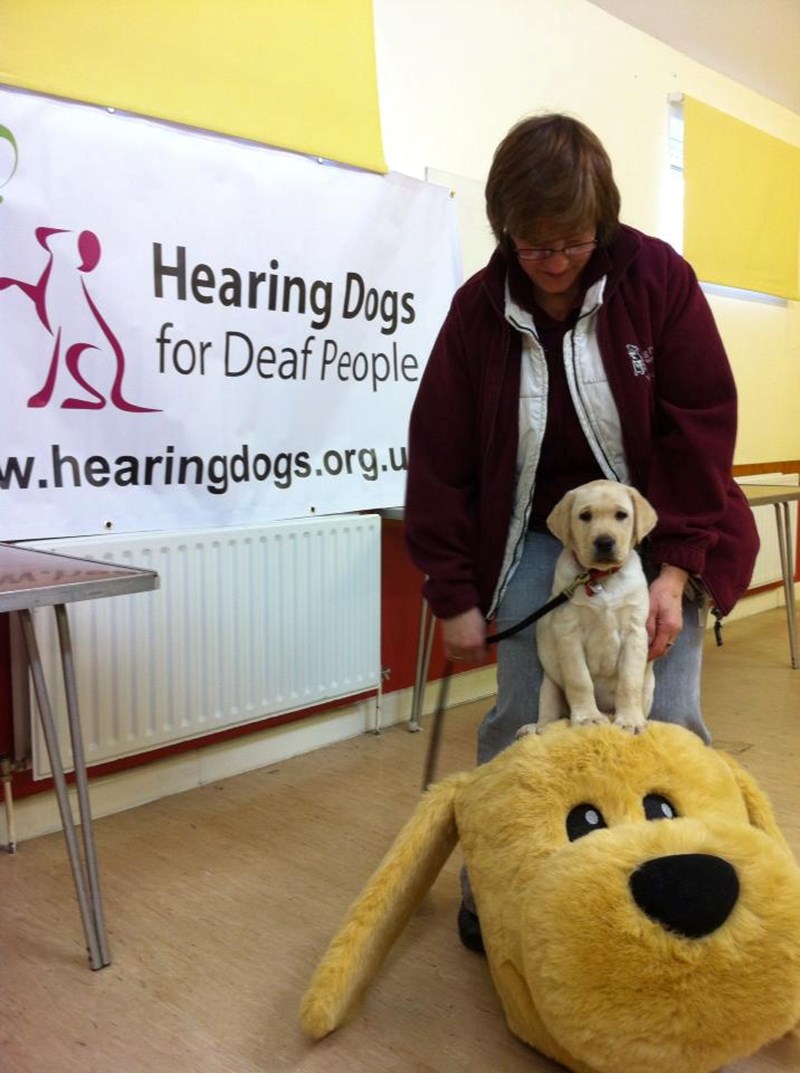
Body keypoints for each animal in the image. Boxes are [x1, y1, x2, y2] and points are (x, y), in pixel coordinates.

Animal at [531, 479, 658, 735]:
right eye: (585, 516)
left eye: (621, 515)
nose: (605, 542)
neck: (599, 578)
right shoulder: (568, 633)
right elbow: (580, 680)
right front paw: (588, 717)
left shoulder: (635, 633)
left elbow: (629, 682)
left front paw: (630, 720)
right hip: (549, 682)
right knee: (548, 714)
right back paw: (535, 729)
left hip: (649, 686)